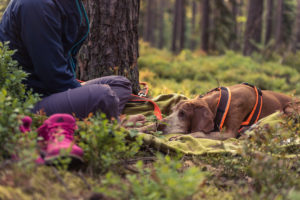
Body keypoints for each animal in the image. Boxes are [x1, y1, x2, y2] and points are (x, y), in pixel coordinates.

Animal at [137, 83, 298, 141]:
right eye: (173, 110)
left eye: (183, 113)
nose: (161, 126)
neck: (218, 104)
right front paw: (140, 127)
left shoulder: (229, 133)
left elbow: (198, 133)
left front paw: (180, 137)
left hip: (290, 107)